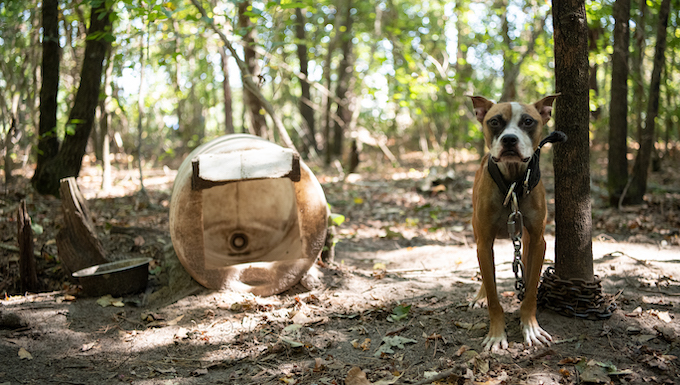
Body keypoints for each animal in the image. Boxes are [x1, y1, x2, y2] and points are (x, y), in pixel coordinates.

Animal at [470, 94, 560, 352]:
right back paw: (480, 296)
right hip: (479, 236)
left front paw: (530, 327)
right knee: (485, 272)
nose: (509, 139)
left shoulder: (539, 241)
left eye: (528, 121)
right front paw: (496, 334)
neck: (512, 183)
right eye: (494, 122)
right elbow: (493, 294)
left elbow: (530, 291)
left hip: (527, 239)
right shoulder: (484, 242)